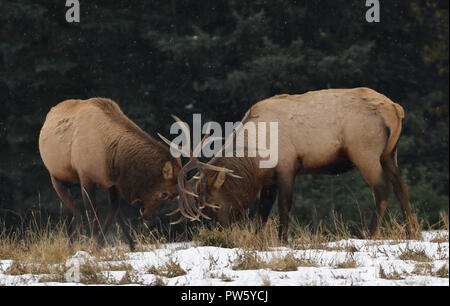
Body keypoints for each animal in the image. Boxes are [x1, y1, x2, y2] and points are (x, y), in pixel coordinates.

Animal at [38, 98, 182, 249]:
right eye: (164, 194)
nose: (148, 215)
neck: (110, 153)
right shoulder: (86, 179)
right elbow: (93, 215)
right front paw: (94, 246)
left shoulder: (112, 182)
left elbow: (114, 208)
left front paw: (110, 245)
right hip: (56, 178)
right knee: (70, 209)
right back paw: (70, 246)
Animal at [162, 88, 414, 241]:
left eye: (213, 205)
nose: (221, 233)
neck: (256, 158)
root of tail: (396, 109)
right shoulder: (269, 179)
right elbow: (262, 212)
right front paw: (258, 239)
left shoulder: (287, 167)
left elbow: (283, 208)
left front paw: (283, 239)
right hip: (389, 154)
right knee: (402, 187)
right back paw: (411, 233)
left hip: (365, 152)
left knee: (382, 188)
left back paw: (371, 234)